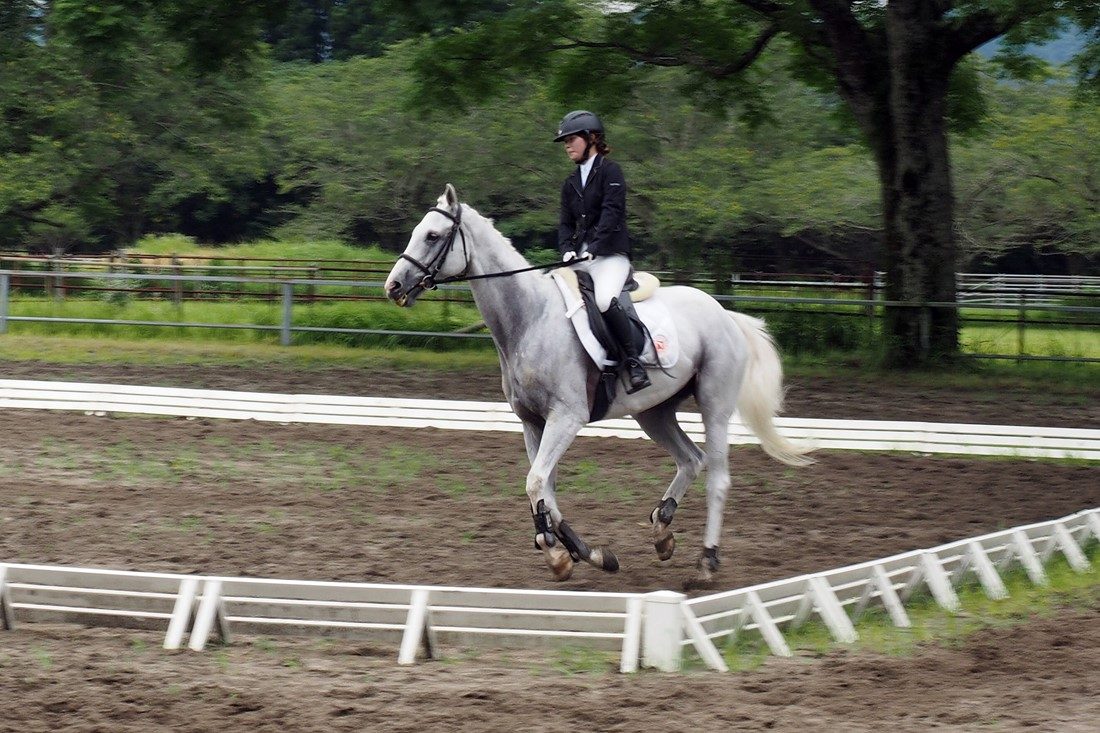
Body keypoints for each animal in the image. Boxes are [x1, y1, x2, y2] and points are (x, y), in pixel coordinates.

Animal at [385, 184, 813, 583]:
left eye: (433, 236)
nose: (393, 287)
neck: (529, 319)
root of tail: (725, 313)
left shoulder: (566, 418)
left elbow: (536, 482)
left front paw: (560, 553)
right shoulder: (533, 422)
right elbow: (545, 489)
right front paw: (578, 554)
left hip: (714, 405)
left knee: (718, 478)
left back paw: (706, 562)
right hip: (654, 413)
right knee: (691, 459)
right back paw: (662, 532)